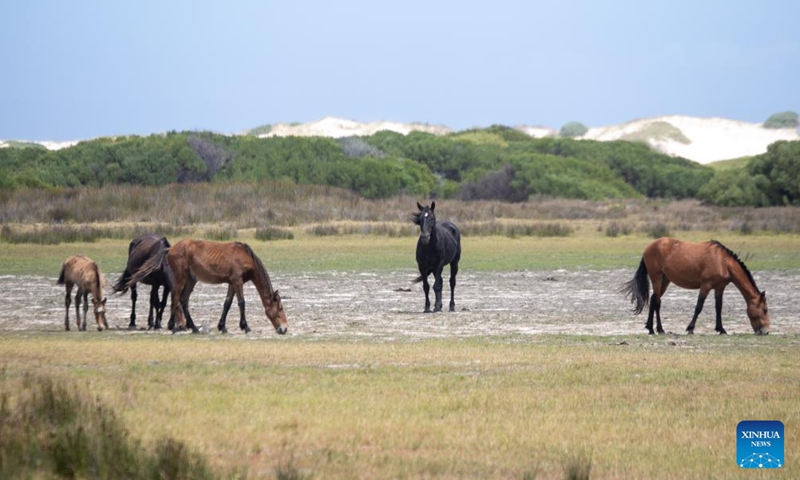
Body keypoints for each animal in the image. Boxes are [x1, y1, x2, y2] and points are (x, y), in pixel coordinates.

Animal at [125, 239, 288, 336]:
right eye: (280, 308)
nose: (284, 329)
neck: (245, 257)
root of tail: (170, 249)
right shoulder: (237, 281)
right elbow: (241, 303)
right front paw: (245, 327)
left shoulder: (232, 283)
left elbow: (227, 303)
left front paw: (222, 327)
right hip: (181, 278)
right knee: (175, 298)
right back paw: (174, 327)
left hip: (191, 280)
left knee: (183, 300)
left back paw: (194, 328)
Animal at [620, 238, 768, 336]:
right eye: (765, 310)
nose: (765, 331)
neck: (723, 262)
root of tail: (649, 247)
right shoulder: (705, 286)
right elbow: (699, 307)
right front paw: (690, 328)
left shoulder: (719, 288)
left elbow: (718, 308)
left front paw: (721, 329)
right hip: (656, 278)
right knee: (657, 301)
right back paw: (657, 329)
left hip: (665, 280)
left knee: (653, 300)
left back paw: (652, 328)